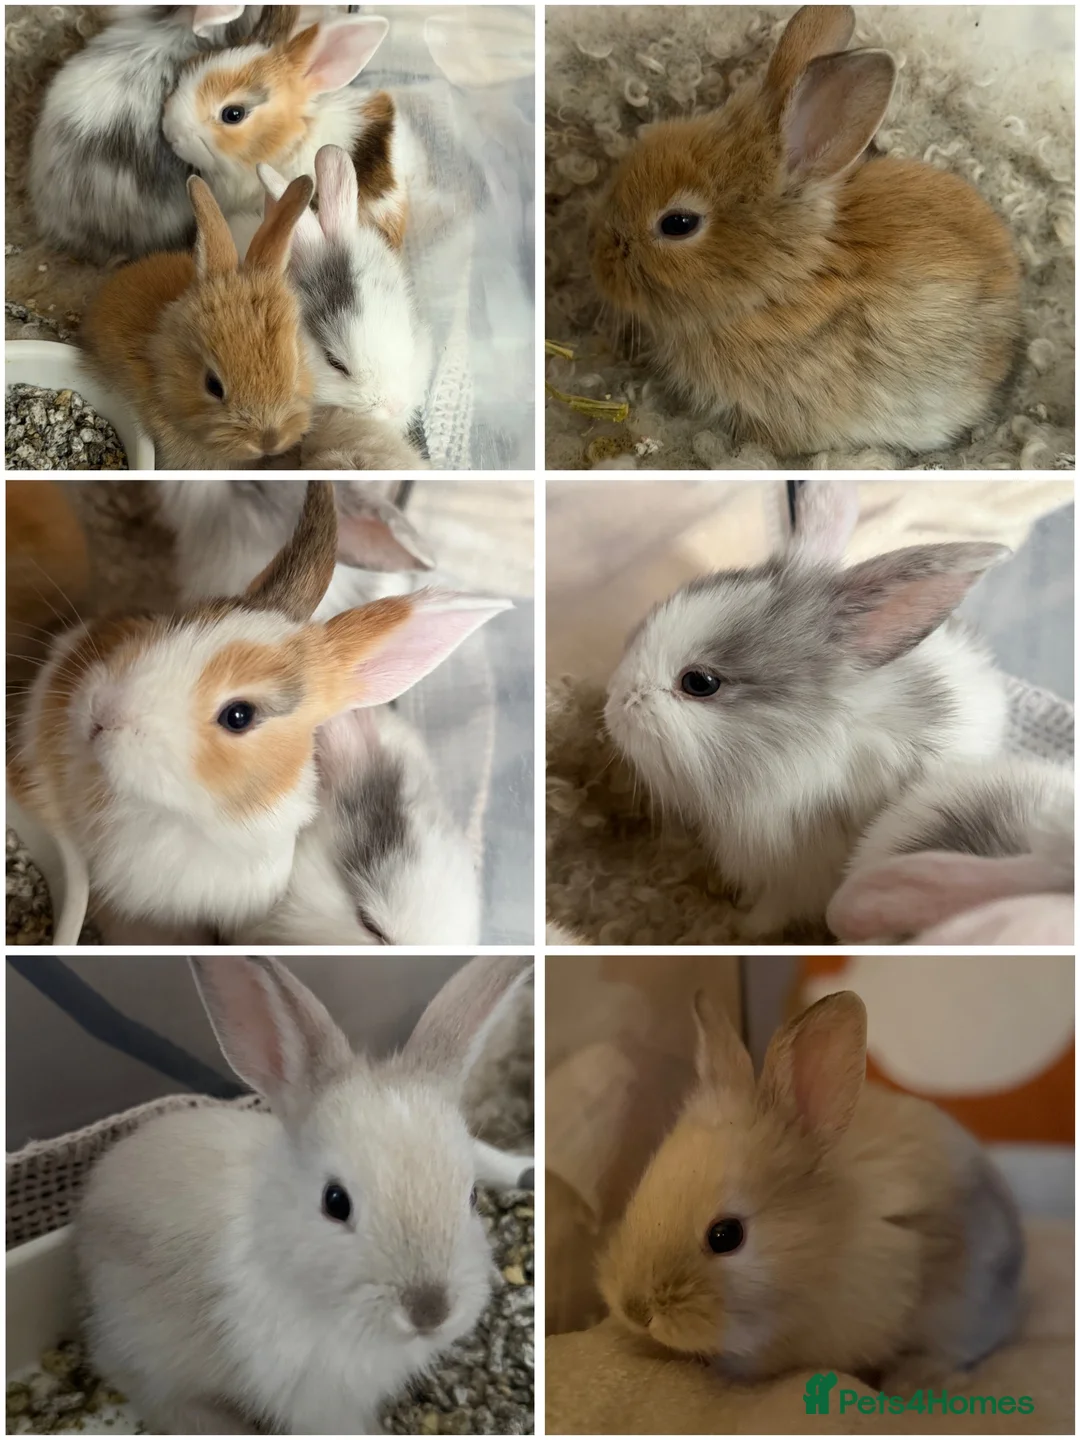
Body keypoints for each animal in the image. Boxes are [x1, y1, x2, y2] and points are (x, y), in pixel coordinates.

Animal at [603, 480, 1010, 940]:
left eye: (699, 683)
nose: (613, 701)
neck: (793, 748)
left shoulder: (795, 880)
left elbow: (767, 914)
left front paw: (739, 928)